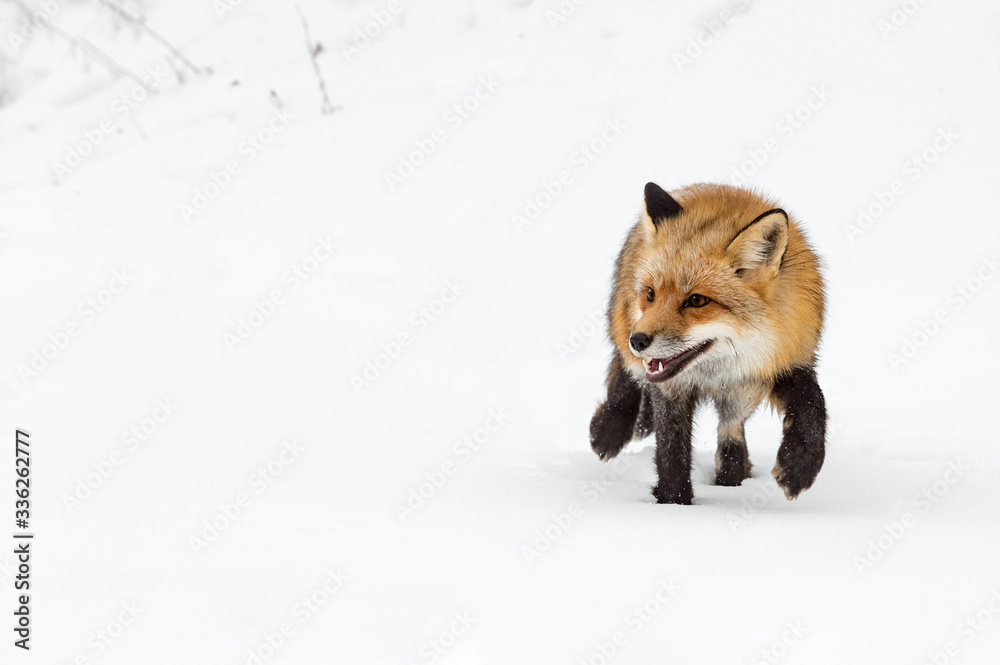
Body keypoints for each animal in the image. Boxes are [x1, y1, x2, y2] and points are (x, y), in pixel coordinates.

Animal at [589, 182, 826, 505]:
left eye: (697, 301)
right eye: (650, 294)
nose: (638, 340)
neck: (714, 373)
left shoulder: (784, 357)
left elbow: (813, 402)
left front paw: (799, 465)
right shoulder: (670, 388)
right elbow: (671, 448)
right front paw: (673, 502)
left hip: (743, 393)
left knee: (730, 429)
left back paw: (731, 479)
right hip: (623, 325)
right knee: (624, 371)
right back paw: (610, 428)